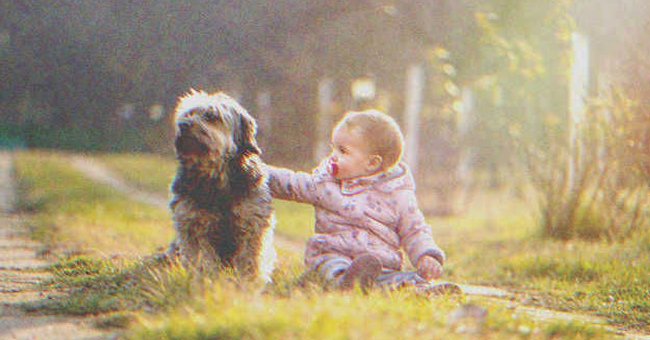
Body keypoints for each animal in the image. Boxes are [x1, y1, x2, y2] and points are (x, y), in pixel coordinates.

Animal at [166, 89, 274, 282]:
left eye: (211, 116)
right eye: (188, 114)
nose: (183, 125)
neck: (216, 181)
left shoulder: (252, 222)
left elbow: (249, 257)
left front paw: (247, 281)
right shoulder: (193, 224)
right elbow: (202, 259)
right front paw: (206, 280)